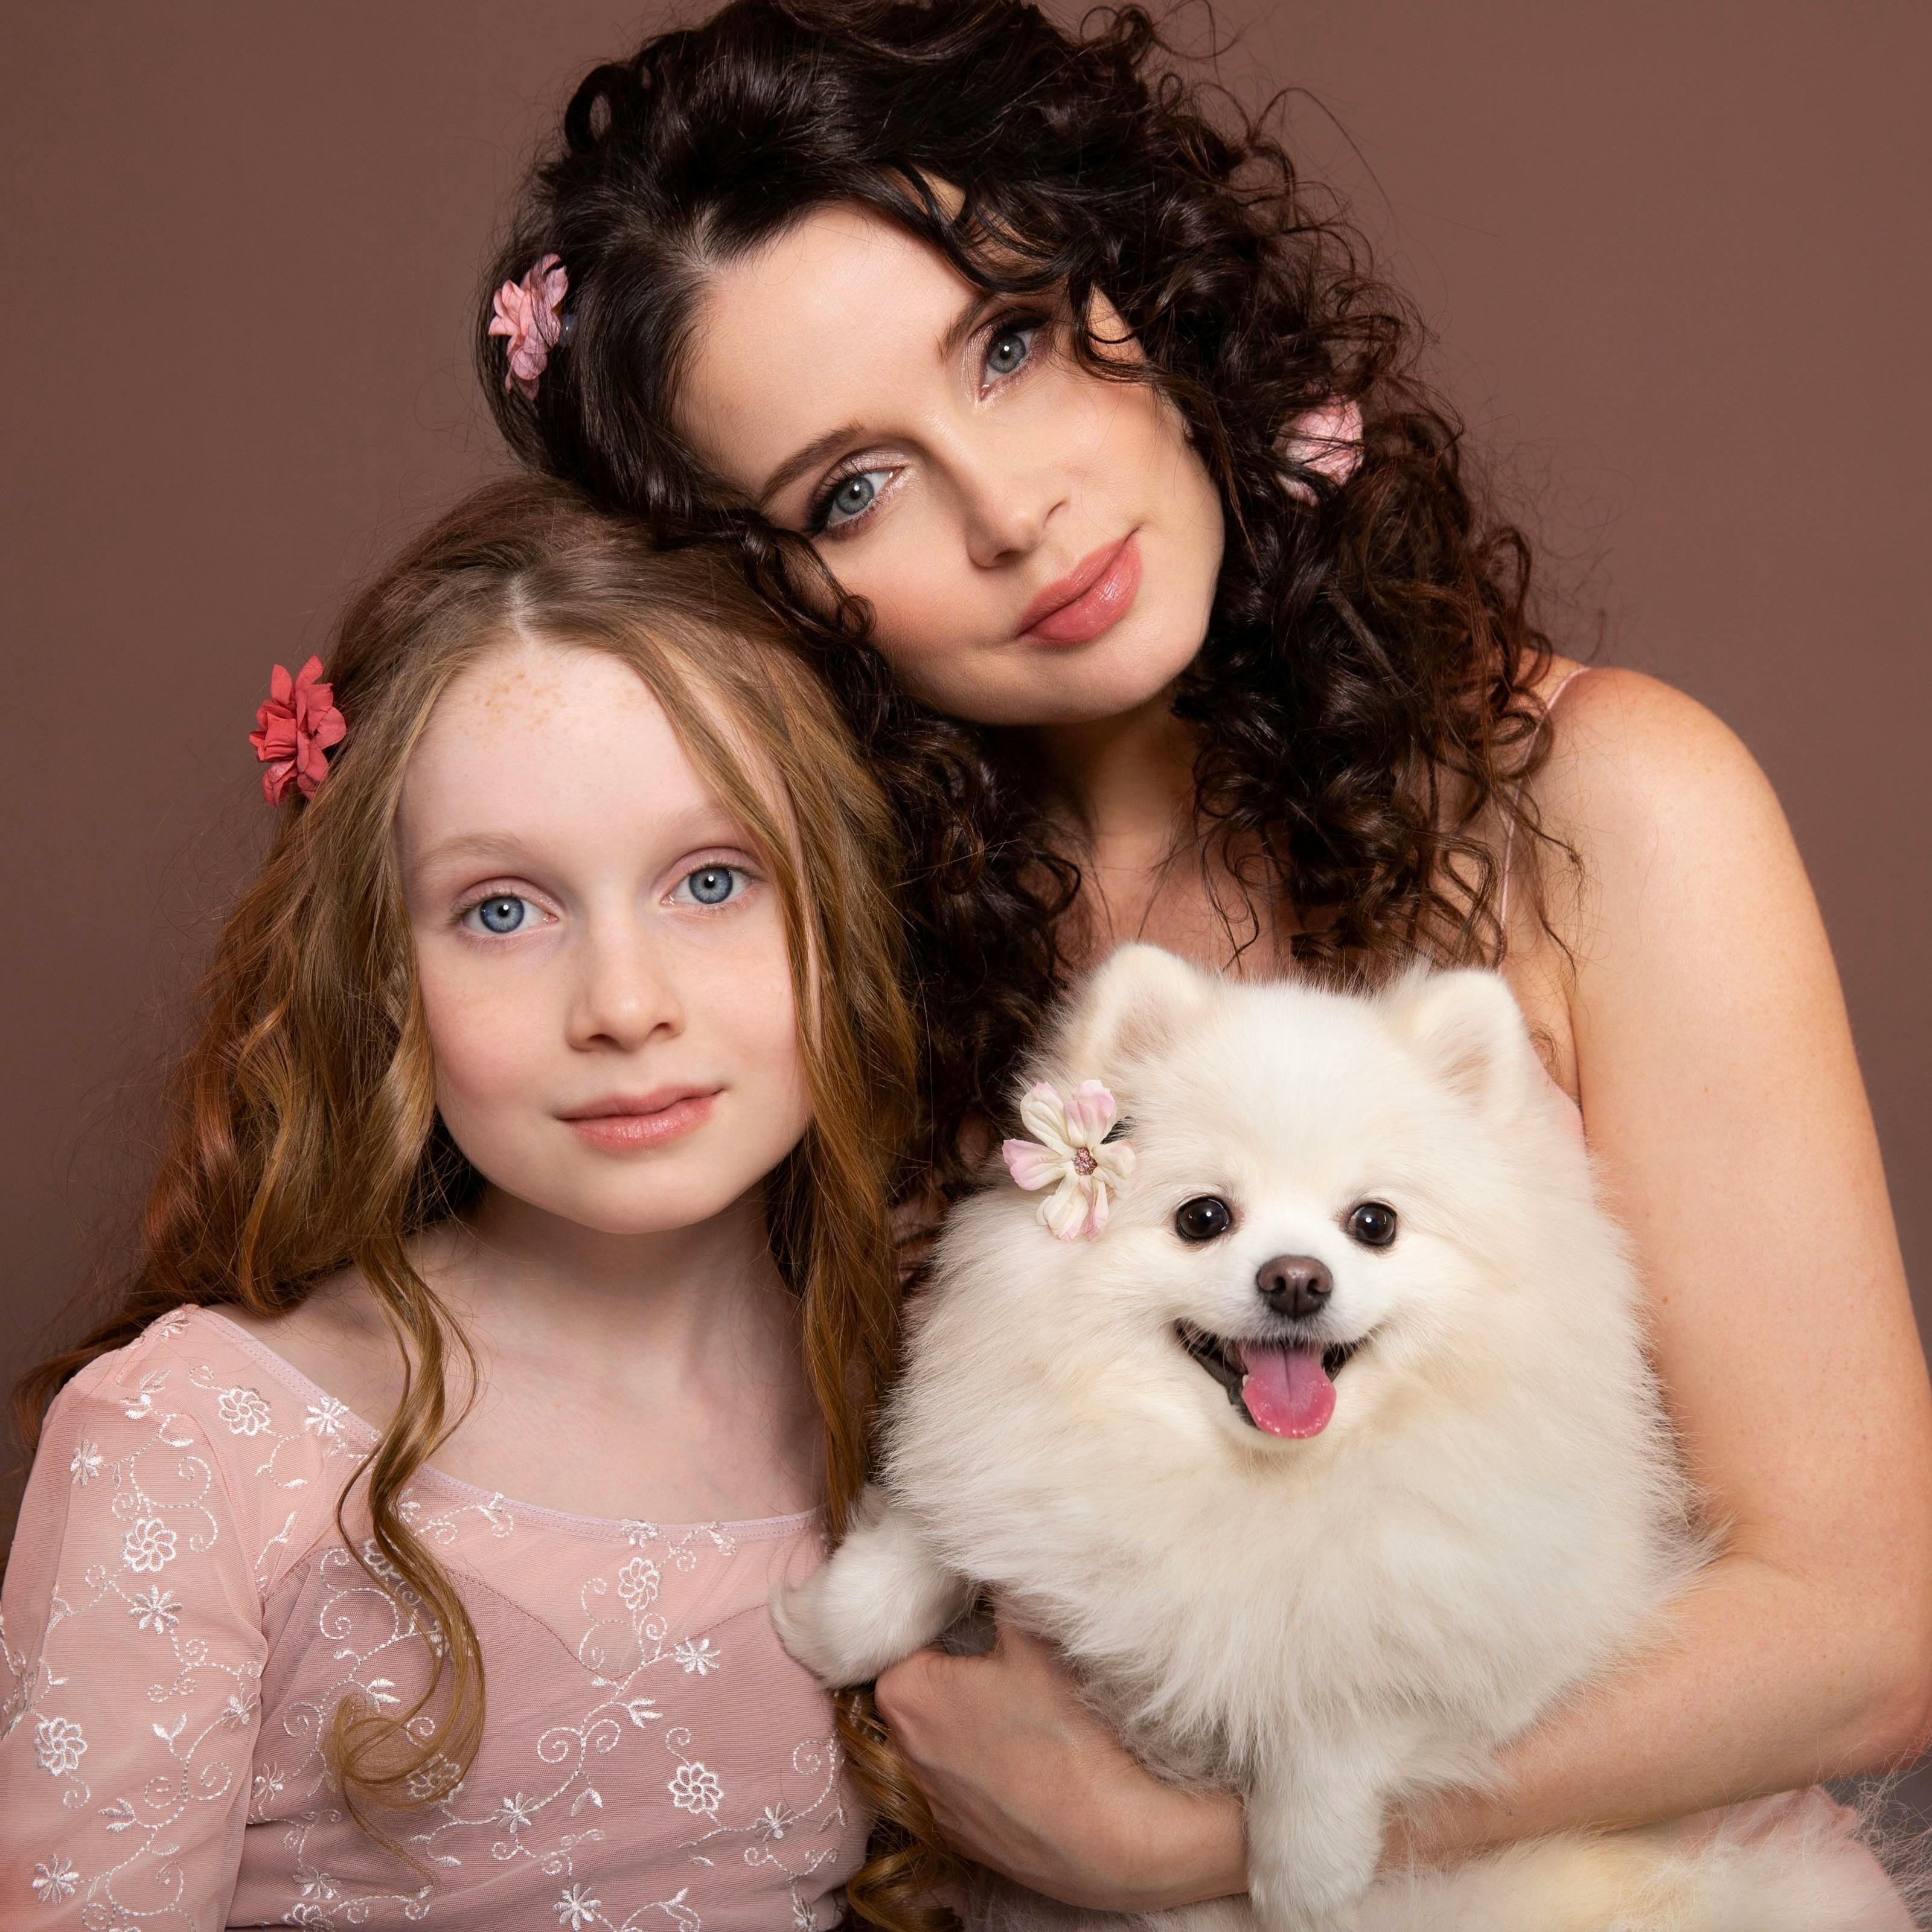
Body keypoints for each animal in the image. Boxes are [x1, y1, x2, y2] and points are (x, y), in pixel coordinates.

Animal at [773, 950, 1901, 1932]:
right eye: (1203, 1217)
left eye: (1374, 1224)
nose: (1295, 1280)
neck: (1254, 1479)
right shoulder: (1011, 1475)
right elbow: (923, 1544)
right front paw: (817, 1630)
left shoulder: (1497, 1623)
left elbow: (1344, 1703)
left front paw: (1305, 1880)